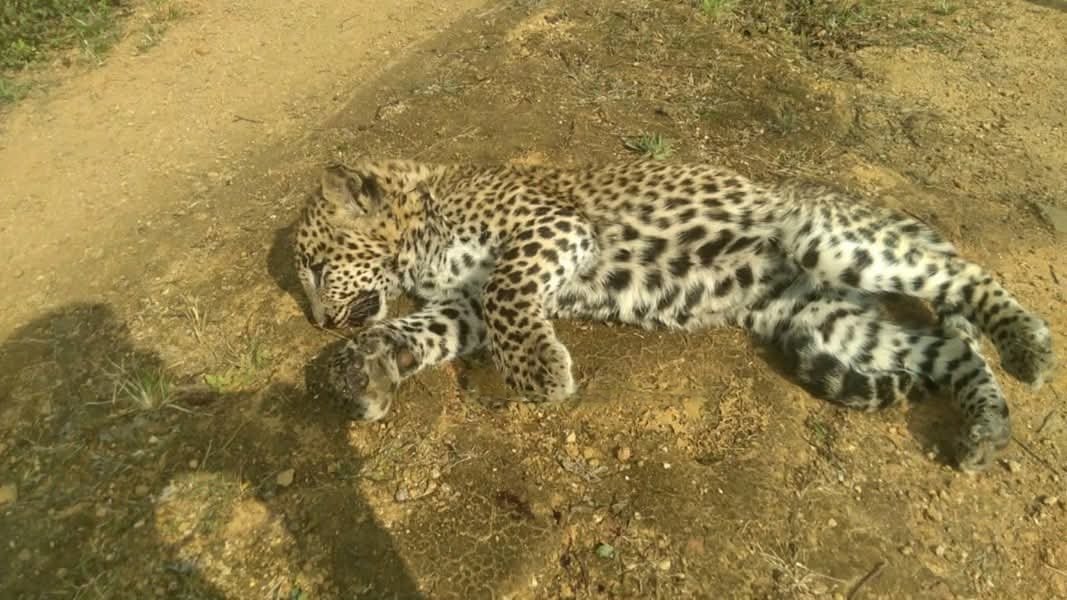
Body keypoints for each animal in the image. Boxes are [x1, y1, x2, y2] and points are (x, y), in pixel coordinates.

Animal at [293, 159, 1055, 473]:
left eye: (316, 266)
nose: (320, 321)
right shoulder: (464, 308)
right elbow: (417, 329)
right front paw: (360, 369)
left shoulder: (548, 231)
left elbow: (511, 299)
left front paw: (541, 374)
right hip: (829, 322)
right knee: (950, 353)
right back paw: (987, 430)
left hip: (830, 239)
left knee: (966, 279)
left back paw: (1028, 345)